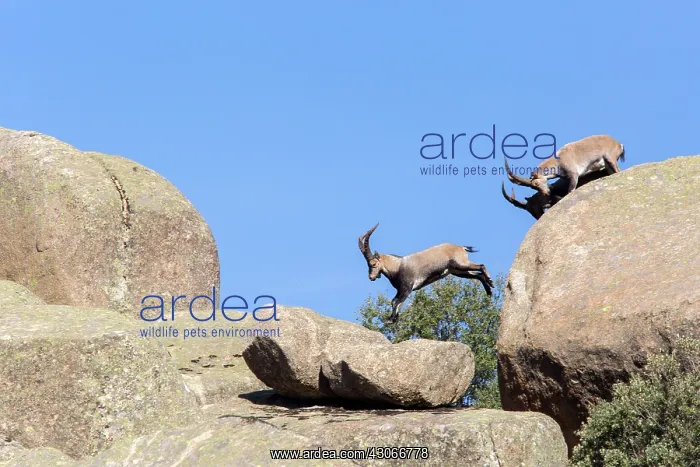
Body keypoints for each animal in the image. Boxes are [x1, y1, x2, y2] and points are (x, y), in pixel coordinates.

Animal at [358, 224, 494, 324]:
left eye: (373, 264)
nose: (371, 277)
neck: (398, 266)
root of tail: (460, 247)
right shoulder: (400, 290)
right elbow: (394, 301)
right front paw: (394, 318)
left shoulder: (407, 288)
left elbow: (396, 302)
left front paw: (391, 320)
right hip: (457, 271)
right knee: (478, 275)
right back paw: (489, 292)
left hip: (460, 264)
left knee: (481, 266)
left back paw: (491, 282)